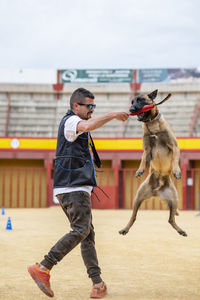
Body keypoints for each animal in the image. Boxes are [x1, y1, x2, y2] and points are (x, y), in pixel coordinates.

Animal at [119, 89, 187, 237]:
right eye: (132, 102)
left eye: (141, 100)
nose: (131, 109)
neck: (152, 124)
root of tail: (157, 191)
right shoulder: (147, 149)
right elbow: (143, 158)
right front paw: (140, 170)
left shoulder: (174, 147)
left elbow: (175, 159)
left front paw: (176, 171)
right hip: (138, 198)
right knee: (133, 216)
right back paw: (125, 229)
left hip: (174, 200)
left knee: (171, 219)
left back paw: (181, 230)